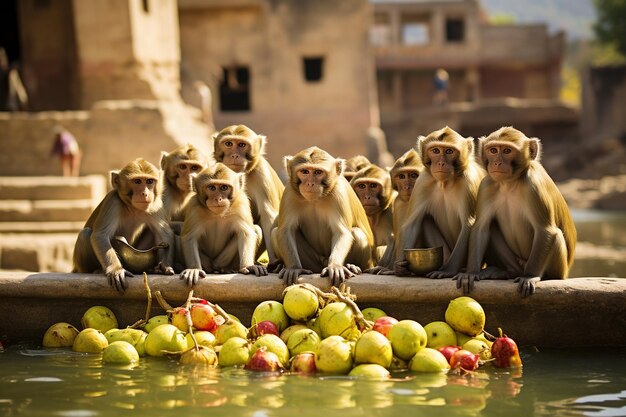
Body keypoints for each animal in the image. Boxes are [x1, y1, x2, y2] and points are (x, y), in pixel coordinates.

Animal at [73, 158, 176, 290]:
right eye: (137, 181)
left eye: (149, 181)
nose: (145, 193)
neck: (132, 208)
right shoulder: (113, 201)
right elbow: (100, 235)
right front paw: (116, 270)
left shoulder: (155, 205)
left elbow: (165, 233)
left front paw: (164, 266)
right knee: (85, 234)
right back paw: (95, 270)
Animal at [213, 123, 284, 262]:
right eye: (228, 144)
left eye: (242, 145)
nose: (234, 155)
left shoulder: (261, 173)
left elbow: (268, 217)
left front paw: (274, 261)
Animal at [270, 146, 372, 286]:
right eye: (305, 171)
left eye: (318, 172)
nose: (310, 183)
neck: (316, 199)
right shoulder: (290, 192)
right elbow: (286, 230)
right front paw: (293, 268)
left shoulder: (338, 194)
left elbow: (341, 232)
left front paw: (335, 266)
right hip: (313, 264)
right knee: (275, 232)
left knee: (357, 233)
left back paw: (352, 266)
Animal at [392, 126, 486, 276]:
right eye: (435, 151)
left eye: (449, 151)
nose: (441, 163)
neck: (445, 183)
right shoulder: (423, 181)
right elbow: (412, 224)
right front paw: (400, 267)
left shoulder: (468, 181)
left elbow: (468, 224)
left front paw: (448, 271)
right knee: (425, 219)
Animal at [448, 126, 576, 296]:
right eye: (493, 150)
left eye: (507, 150)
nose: (497, 162)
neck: (510, 183)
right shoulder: (487, 185)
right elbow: (481, 228)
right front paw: (471, 273)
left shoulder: (534, 186)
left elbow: (545, 230)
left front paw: (530, 276)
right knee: (492, 227)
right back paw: (508, 271)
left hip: (559, 269)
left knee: (556, 237)